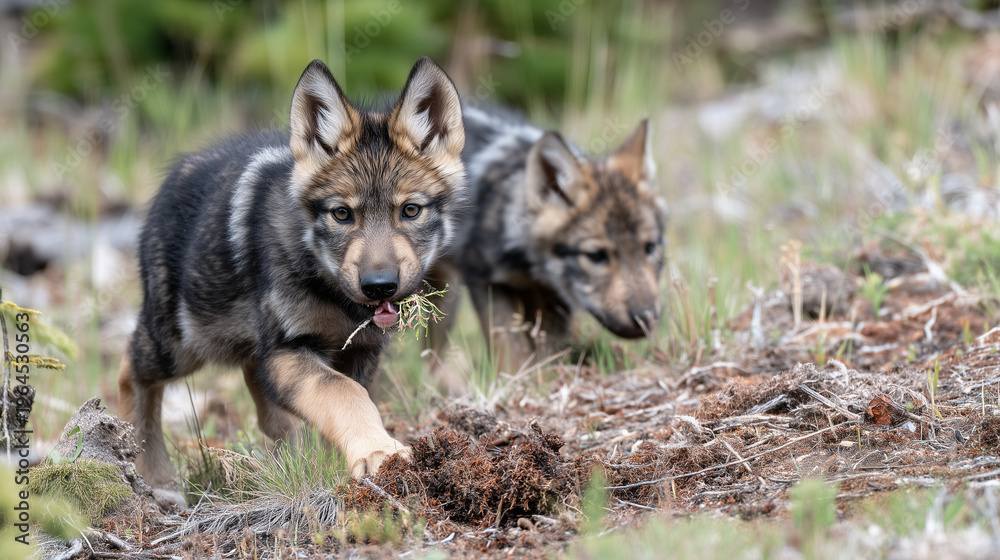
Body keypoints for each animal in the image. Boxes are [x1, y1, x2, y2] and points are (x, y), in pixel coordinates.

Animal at [118, 57, 466, 508]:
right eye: (341, 214)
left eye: (410, 210)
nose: (379, 286)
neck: (332, 291)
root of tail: (175, 175)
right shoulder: (288, 350)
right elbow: (343, 394)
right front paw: (379, 452)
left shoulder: (359, 351)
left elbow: (351, 399)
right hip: (182, 344)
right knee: (130, 369)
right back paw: (154, 476)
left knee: (259, 390)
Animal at [428, 106, 665, 379]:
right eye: (596, 255)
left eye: (649, 248)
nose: (645, 318)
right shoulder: (485, 281)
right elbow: (512, 354)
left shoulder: (551, 300)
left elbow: (546, 356)